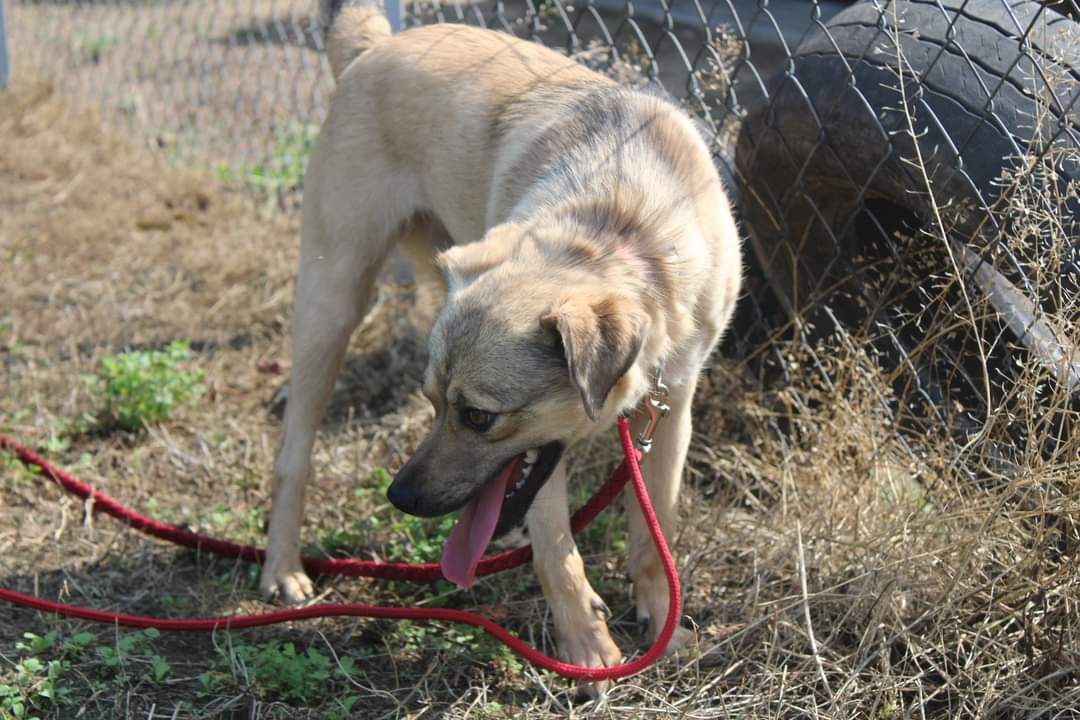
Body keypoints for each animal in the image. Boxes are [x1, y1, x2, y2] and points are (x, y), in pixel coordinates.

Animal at [263, 0, 743, 690]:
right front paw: (586, 648)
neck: (621, 231)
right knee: (292, 455)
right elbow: (558, 551)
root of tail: (374, 45)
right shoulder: (543, 458)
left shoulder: (671, 406)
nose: (399, 498)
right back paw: (282, 567)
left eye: (476, 416)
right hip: (332, 303)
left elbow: (656, 534)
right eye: (434, 404)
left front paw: (663, 624)